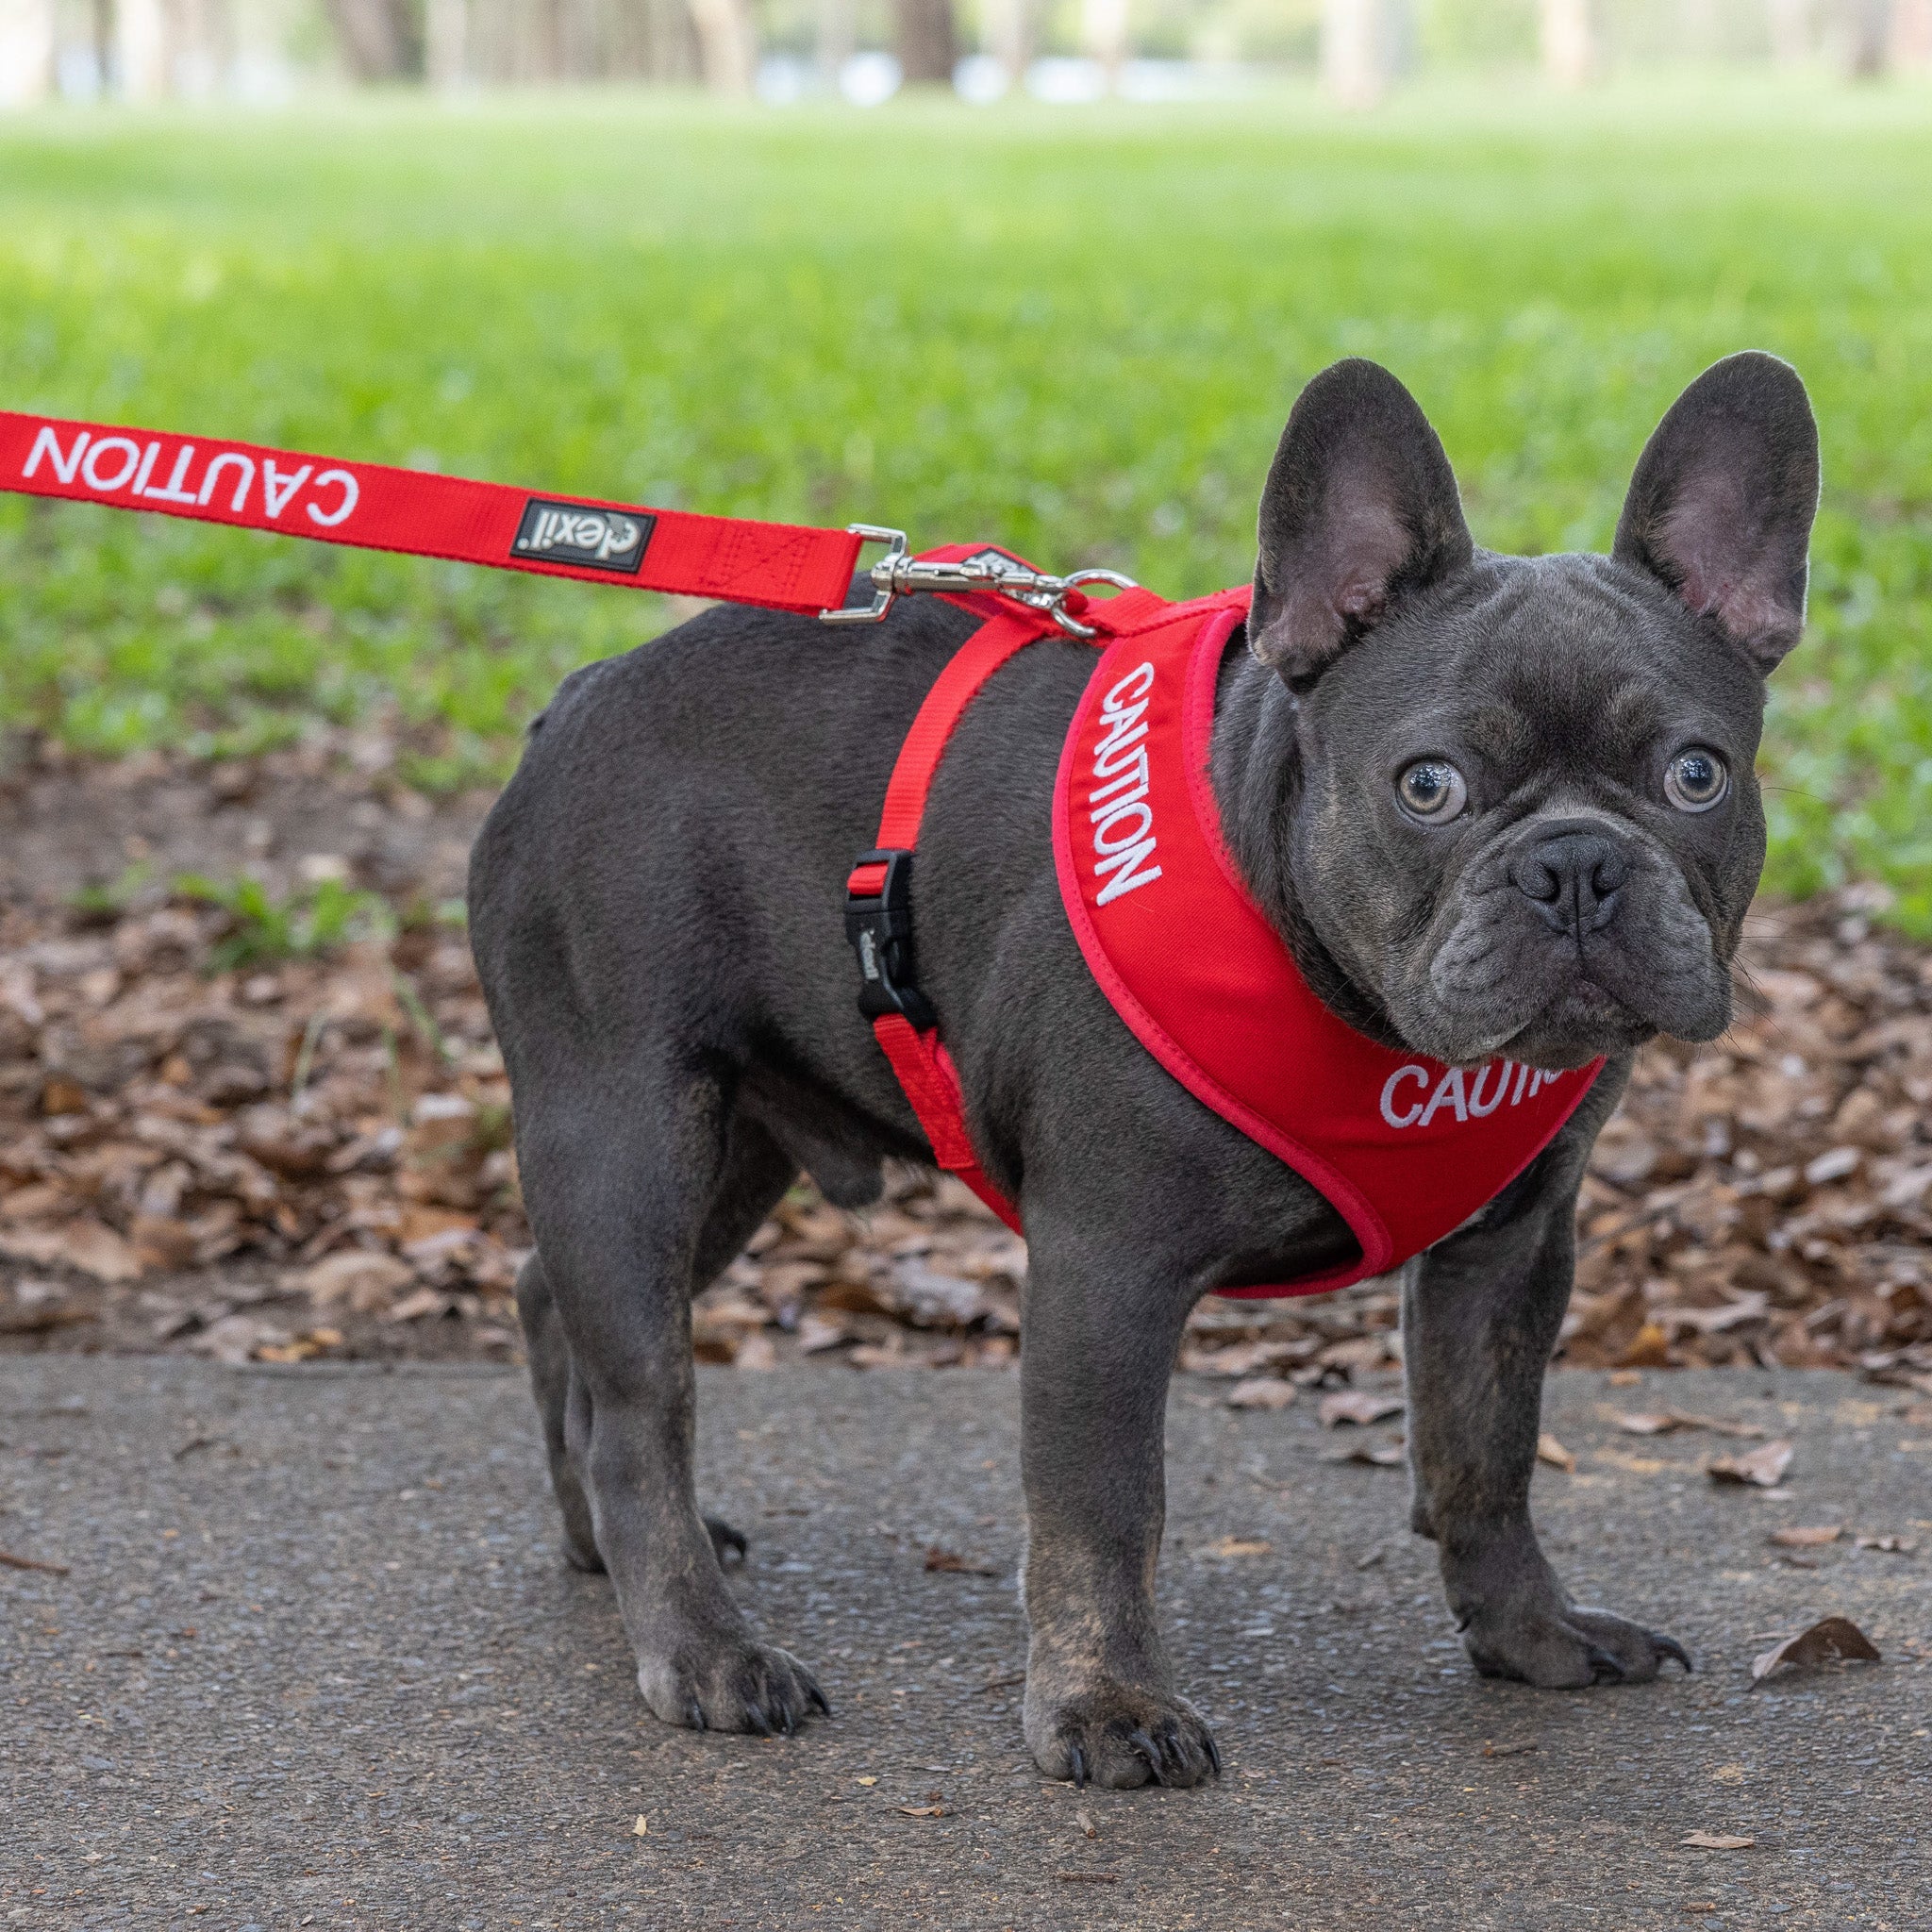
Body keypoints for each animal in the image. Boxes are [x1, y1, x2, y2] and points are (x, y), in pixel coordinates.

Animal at [471, 355, 1824, 1785]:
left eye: (1695, 773)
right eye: (1429, 786)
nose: (1576, 862)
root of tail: (575, 696)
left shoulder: (1506, 1254)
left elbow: (1484, 1459)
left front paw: (1532, 1637)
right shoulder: (1105, 1268)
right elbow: (1103, 1507)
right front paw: (1106, 1704)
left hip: (736, 1147)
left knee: (550, 1299)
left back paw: (592, 1547)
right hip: (629, 1128)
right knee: (646, 1407)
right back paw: (703, 1649)